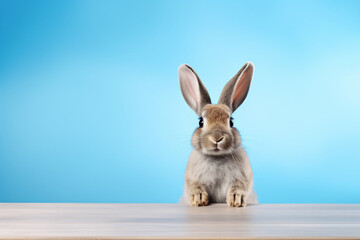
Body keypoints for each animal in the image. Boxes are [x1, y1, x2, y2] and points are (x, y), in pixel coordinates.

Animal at [177, 62, 256, 207]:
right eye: (201, 122)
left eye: (231, 121)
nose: (217, 138)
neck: (217, 157)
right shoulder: (192, 179)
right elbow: (195, 186)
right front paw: (198, 199)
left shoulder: (243, 177)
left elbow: (239, 186)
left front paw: (236, 200)